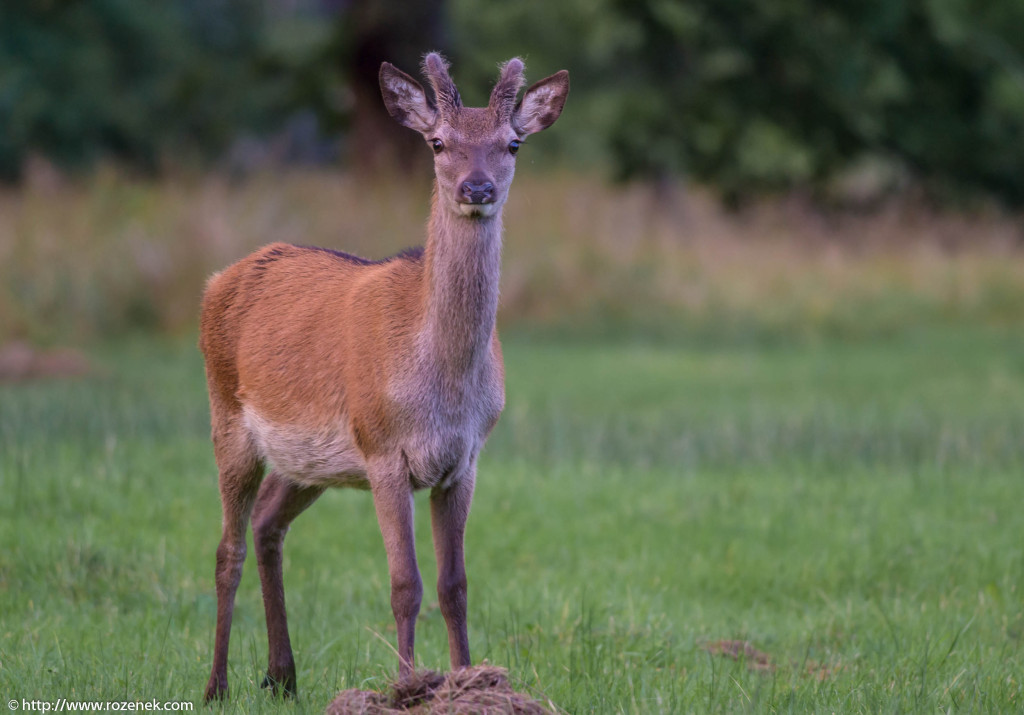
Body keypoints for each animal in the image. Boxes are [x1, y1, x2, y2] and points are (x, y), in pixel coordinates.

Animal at [195, 53, 573, 700]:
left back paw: (282, 676)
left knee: (268, 524)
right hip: (229, 418)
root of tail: (216, 280)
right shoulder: (382, 450)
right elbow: (405, 584)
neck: (443, 387)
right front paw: (407, 686)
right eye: (438, 142)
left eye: (513, 143)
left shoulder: (464, 459)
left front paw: (468, 681)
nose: (477, 188)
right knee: (228, 547)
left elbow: (454, 584)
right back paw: (217, 685)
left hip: (308, 462)